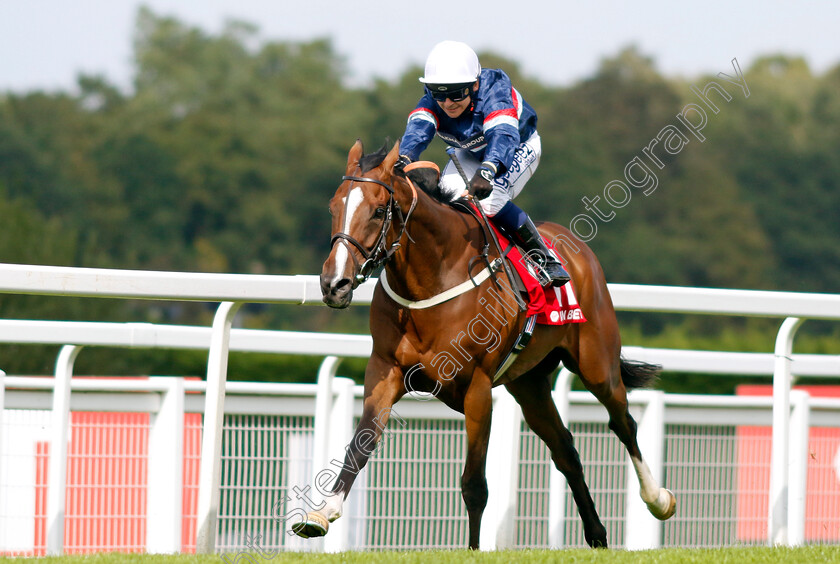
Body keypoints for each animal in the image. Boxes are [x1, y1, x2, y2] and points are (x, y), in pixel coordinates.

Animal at [296, 139, 676, 548]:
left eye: (379, 210)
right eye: (333, 207)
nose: (334, 284)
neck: (432, 277)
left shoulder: (477, 388)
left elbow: (474, 484)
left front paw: (474, 549)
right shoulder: (385, 370)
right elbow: (360, 444)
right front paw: (322, 513)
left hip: (597, 364)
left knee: (624, 423)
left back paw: (658, 500)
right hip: (529, 385)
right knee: (566, 450)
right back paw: (597, 535)